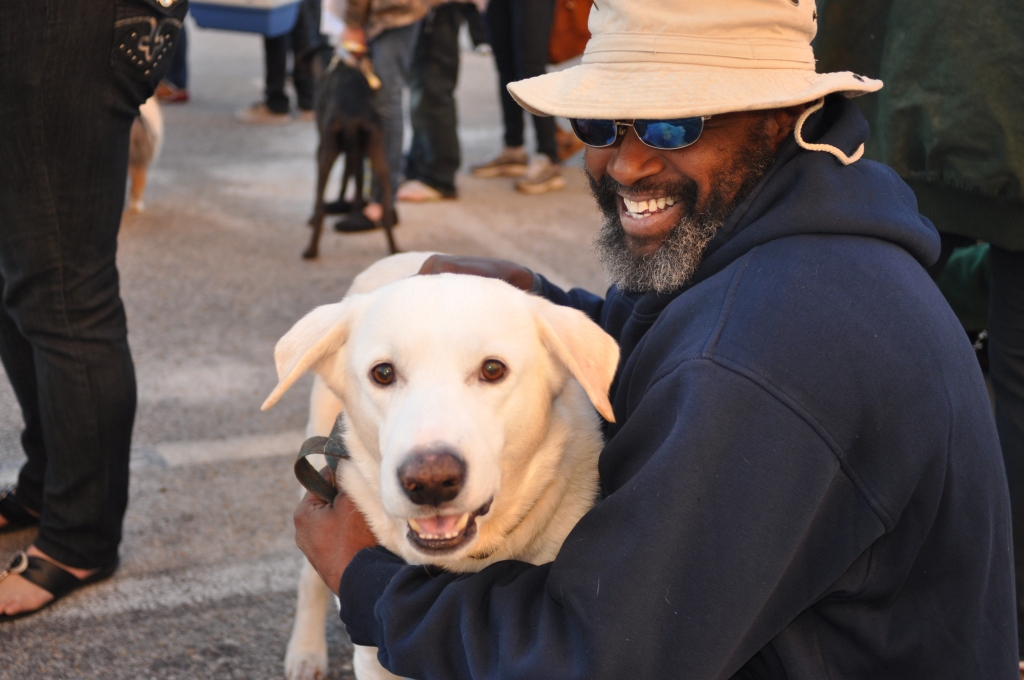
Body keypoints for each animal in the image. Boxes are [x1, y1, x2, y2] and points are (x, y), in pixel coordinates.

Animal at [262, 253, 614, 680]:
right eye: (383, 373)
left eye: (493, 369)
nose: (430, 480)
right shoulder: (374, 658)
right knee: (308, 579)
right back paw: (306, 651)